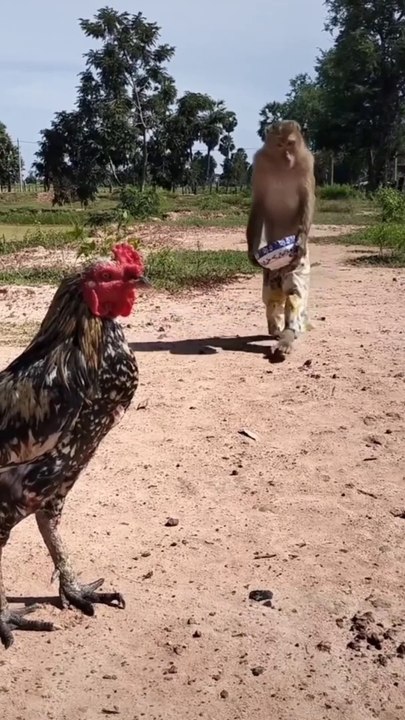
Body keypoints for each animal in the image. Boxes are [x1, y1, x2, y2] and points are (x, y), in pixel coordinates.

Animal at [246, 120, 315, 360]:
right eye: (280, 145)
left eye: (291, 144)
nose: (287, 157)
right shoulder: (259, 163)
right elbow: (258, 202)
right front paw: (251, 249)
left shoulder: (306, 161)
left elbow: (307, 199)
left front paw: (300, 240)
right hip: (271, 274)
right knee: (272, 296)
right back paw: (275, 327)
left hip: (292, 265)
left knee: (292, 292)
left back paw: (286, 337)